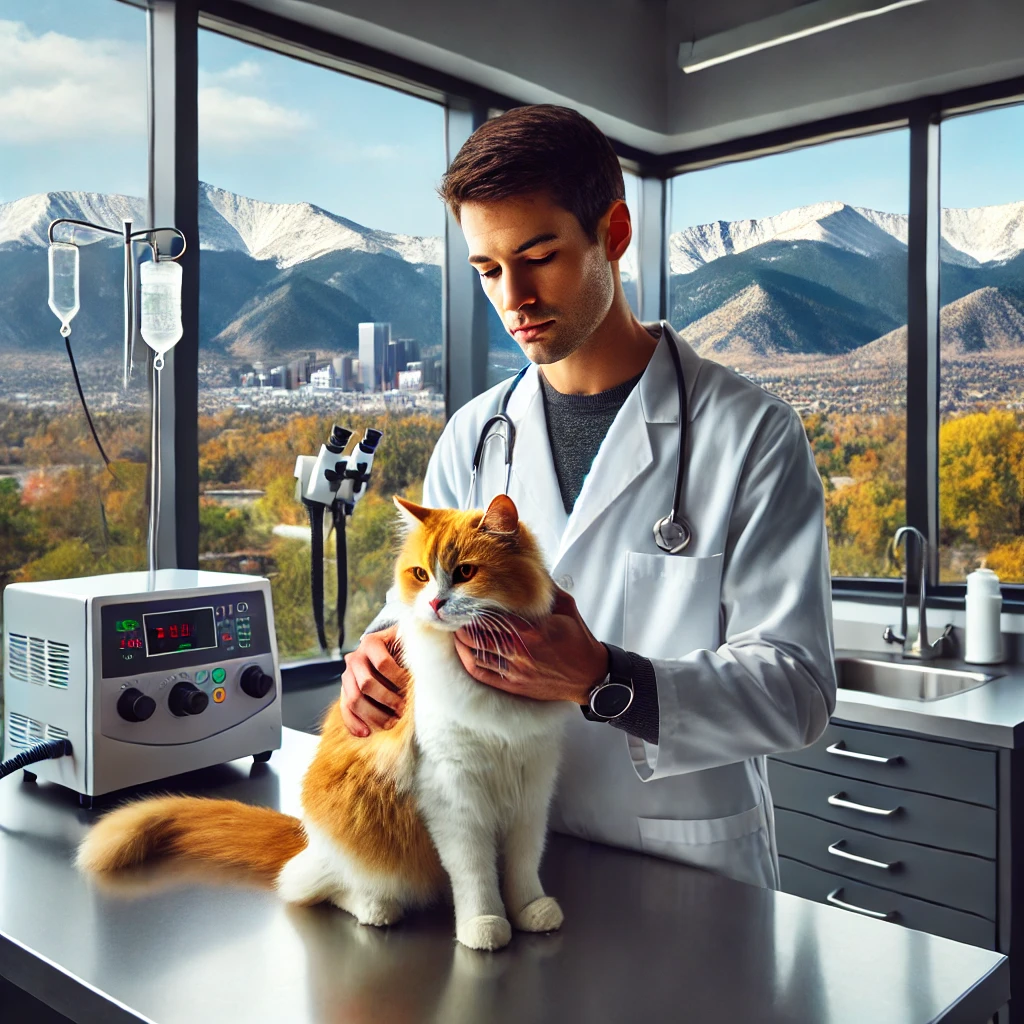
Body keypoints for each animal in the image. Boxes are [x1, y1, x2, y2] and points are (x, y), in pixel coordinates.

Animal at [77, 493, 577, 950]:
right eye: (421, 574)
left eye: (466, 573)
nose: (435, 603)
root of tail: (308, 837)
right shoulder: (455, 793)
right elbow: (475, 873)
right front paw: (484, 924)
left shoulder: (532, 785)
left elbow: (523, 864)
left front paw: (530, 909)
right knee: (312, 886)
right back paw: (376, 907)